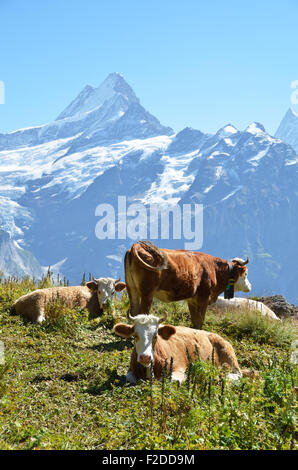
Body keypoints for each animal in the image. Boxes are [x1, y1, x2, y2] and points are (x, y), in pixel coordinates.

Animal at [123, 241, 251, 328]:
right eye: (245, 273)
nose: (250, 286)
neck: (214, 270)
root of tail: (138, 246)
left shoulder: (192, 300)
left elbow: (195, 321)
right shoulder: (204, 298)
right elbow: (200, 321)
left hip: (131, 288)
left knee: (134, 311)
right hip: (147, 292)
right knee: (142, 313)